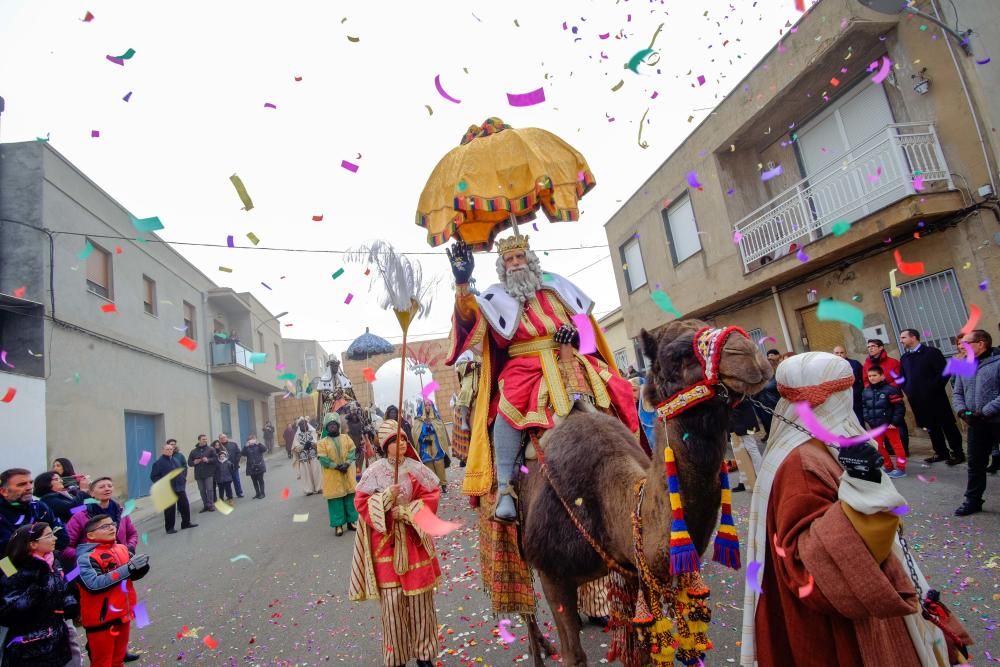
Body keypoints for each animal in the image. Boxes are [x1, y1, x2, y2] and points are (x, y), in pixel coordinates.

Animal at [512, 320, 768, 664]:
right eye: (676, 355)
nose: (749, 354)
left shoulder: (634, 568)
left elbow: (644, 652)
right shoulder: (553, 575)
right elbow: (573, 655)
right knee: (521, 598)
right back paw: (538, 648)